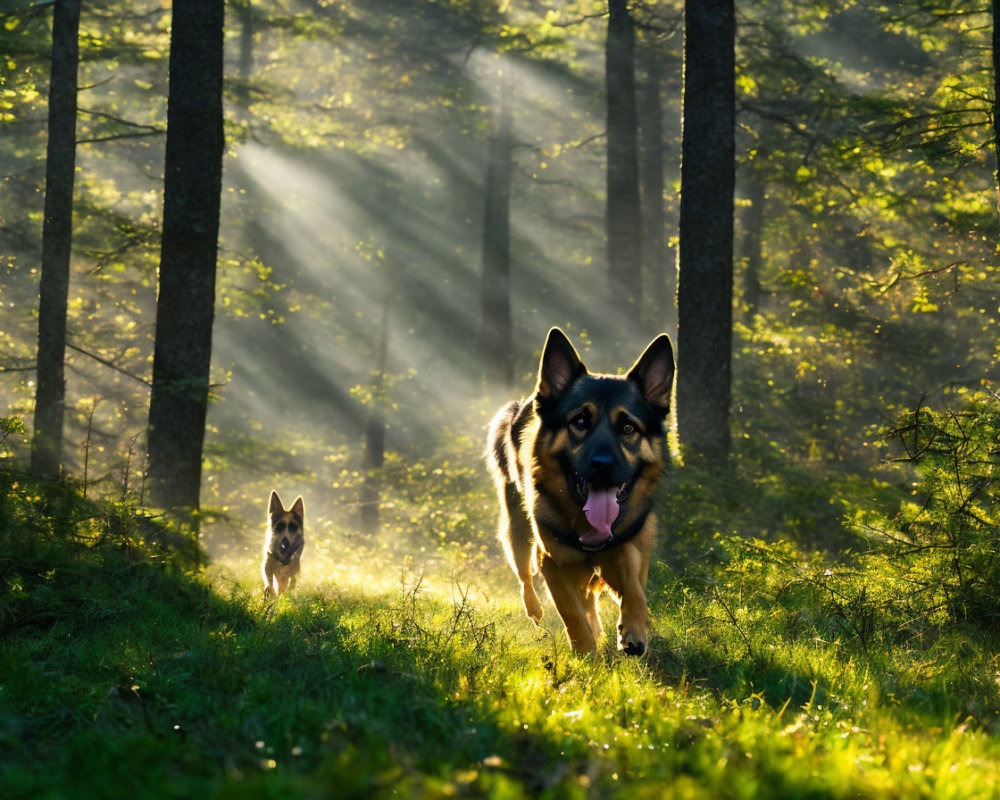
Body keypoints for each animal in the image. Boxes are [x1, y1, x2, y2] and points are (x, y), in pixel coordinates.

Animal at [488, 326, 676, 656]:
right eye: (579, 422)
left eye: (628, 428)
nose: (602, 465)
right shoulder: (552, 562)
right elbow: (571, 612)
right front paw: (587, 652)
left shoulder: (629, 547)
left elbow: (635, 590)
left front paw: (633, 632)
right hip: (517, 533)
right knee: (525, 576)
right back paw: (536, 610)